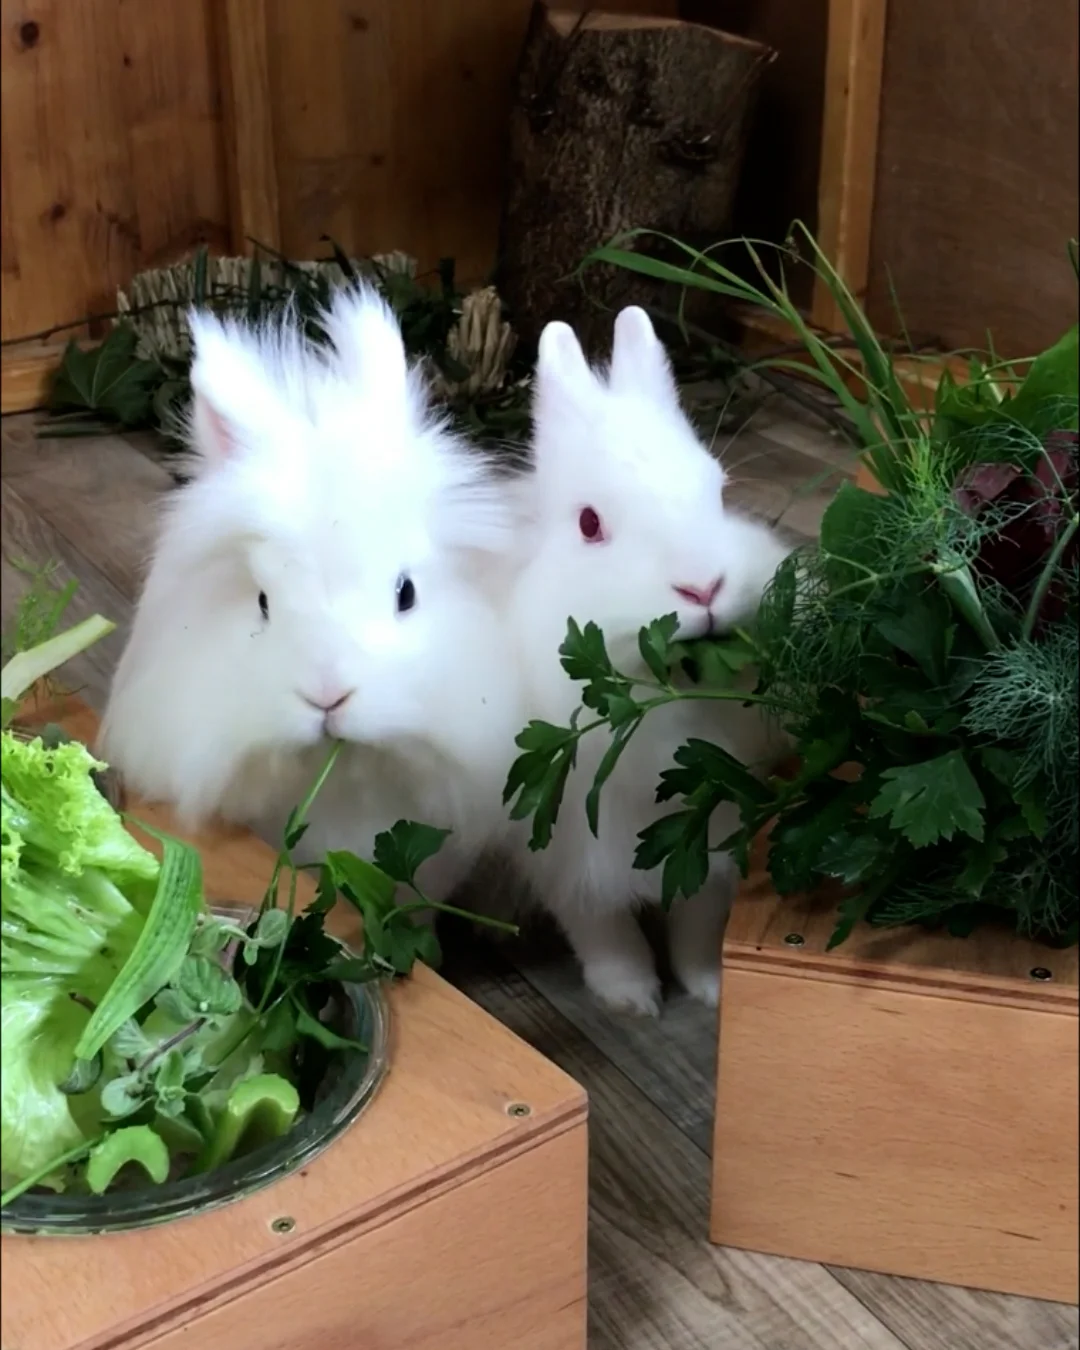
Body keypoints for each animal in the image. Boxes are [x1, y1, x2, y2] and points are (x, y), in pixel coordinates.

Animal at [503, 306, 792, 1016]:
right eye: (588, 523)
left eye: (719, 492)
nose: (703, 588)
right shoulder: (566, 855)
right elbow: (602, 928)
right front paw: (633, 997)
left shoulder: (714, 842)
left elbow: (699, 923)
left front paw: (709, 990)